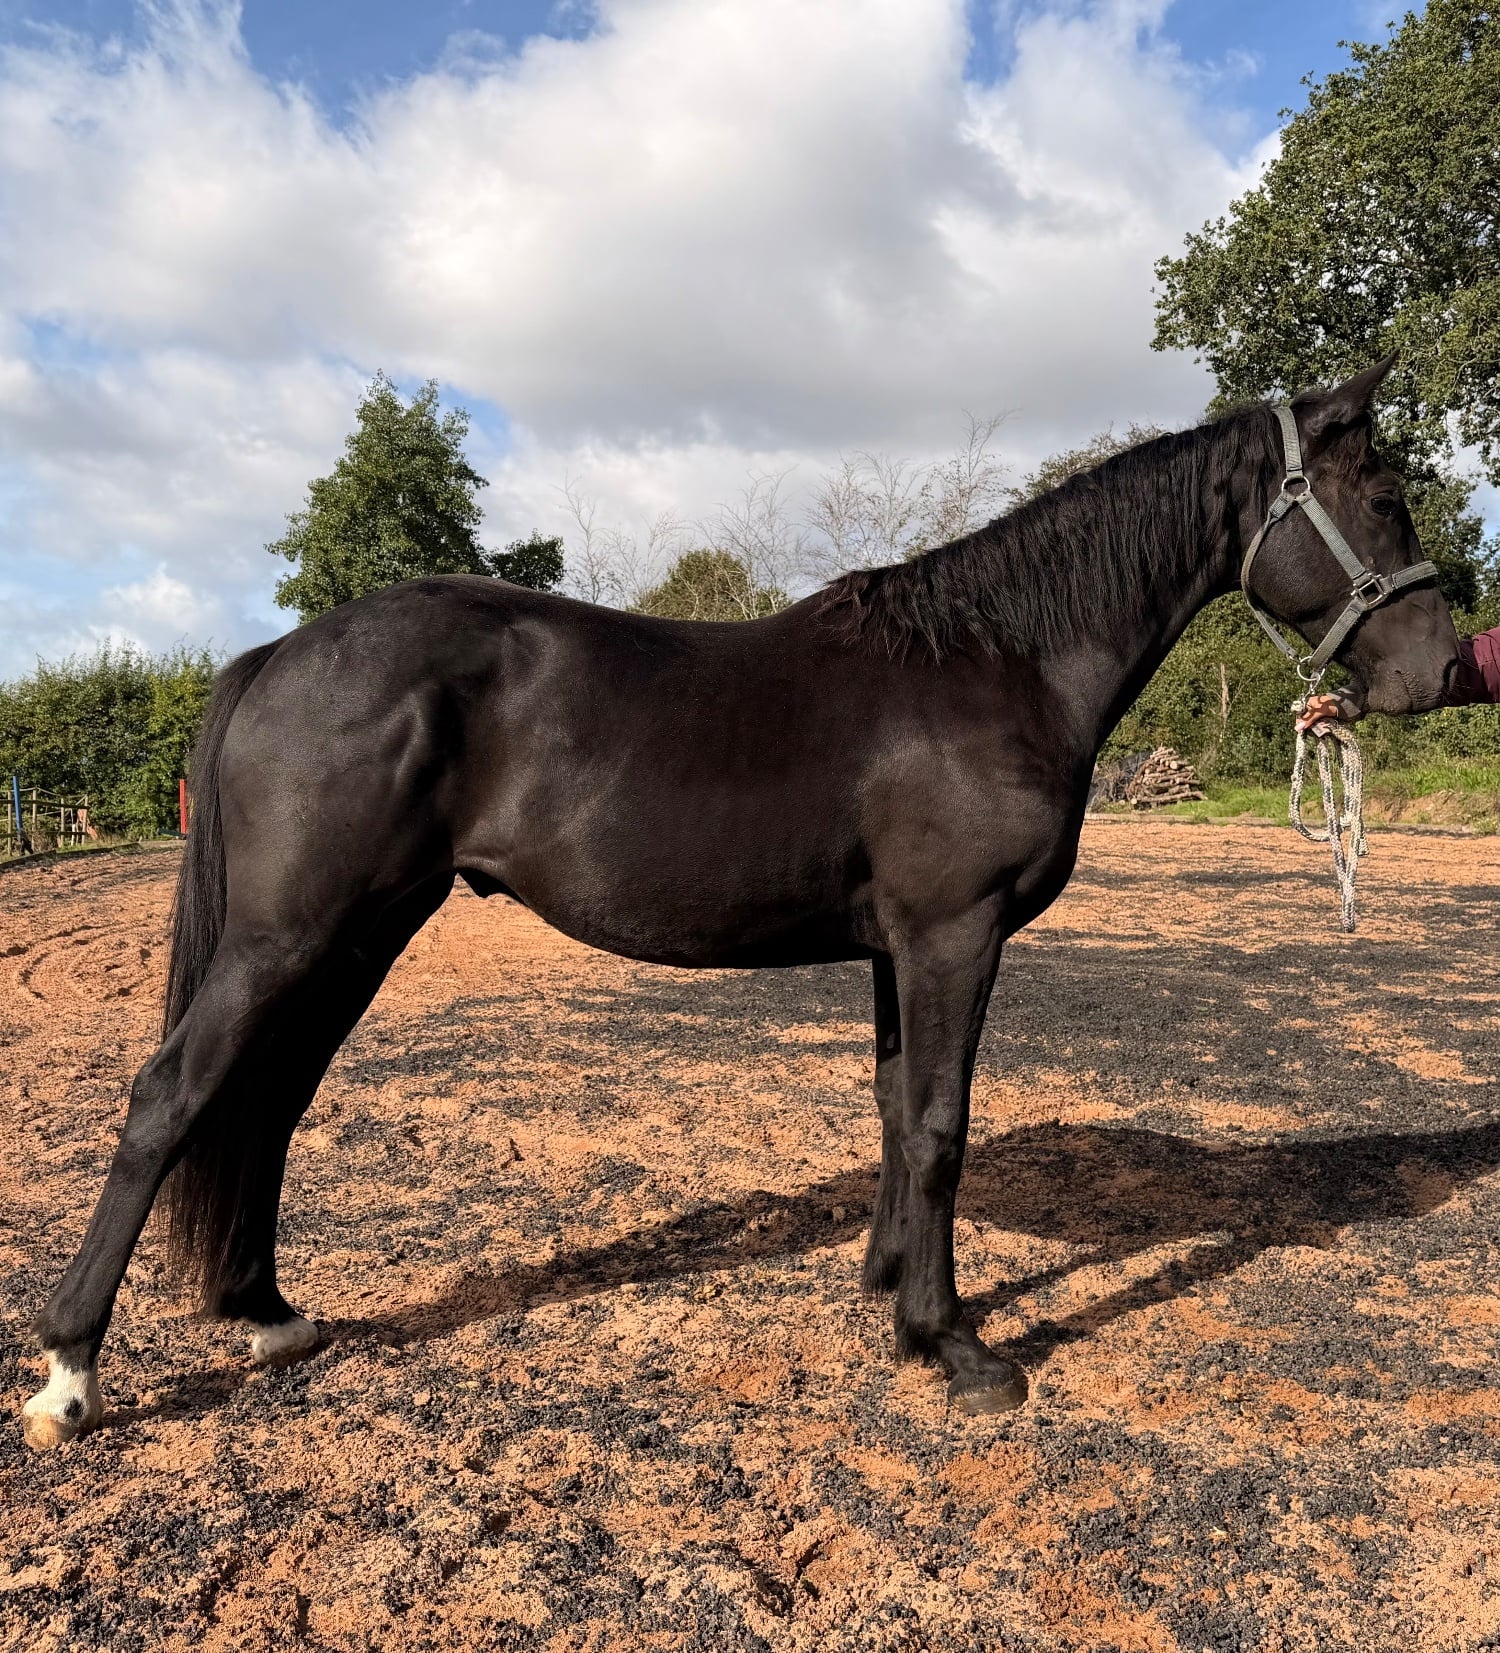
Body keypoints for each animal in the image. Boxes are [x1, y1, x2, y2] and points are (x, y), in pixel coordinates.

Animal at [23, 357, 1460, 1447]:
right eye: (1384, 494)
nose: (1439, 671)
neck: (997, 660)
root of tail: (281, 652)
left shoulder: (899, 949)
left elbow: (893, 1109)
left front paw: (891, 1289)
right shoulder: (955, 935)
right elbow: (939, 1124)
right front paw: (956, 1344)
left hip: (359, 933)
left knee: (265, 1100)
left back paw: (268, 1313)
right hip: (291, 935)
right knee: (170, 1098)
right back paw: (68, 1378)